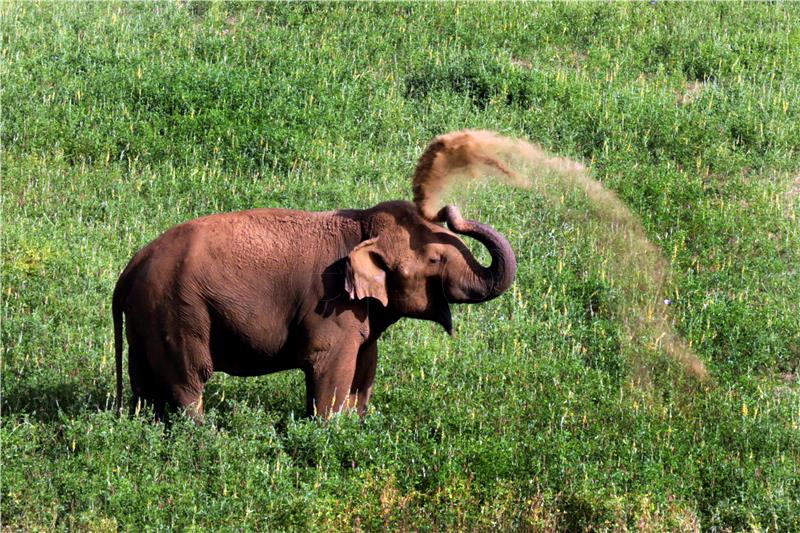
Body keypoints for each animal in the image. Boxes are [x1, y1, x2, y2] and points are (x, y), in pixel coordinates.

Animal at [114, 130, 520, 420]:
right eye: (435, 259)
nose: (448, 209)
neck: (362, 224)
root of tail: (129, 270)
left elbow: (366, 364)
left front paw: (356, 426)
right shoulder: (332, 307)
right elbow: (330, 367)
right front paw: (327, 430)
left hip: (146, 318)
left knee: (144, 383)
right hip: (179, 312)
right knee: (188, 380)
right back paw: (204, 434)